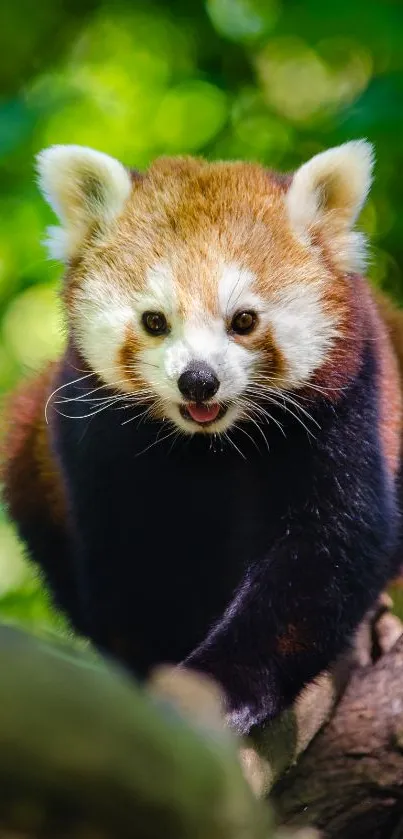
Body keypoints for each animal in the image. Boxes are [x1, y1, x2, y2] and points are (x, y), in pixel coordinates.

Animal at [0, 144, 403, 736]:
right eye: (154, 321)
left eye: (244, 320)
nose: (198, 380)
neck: (209, 446)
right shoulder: (95, 442)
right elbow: (129, 567)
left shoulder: (345, 406)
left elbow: (328, 547)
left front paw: (223, 687)